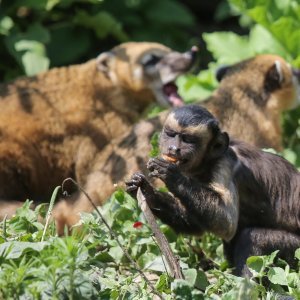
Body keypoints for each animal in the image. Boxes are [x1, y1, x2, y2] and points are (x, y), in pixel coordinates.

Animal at [126, 105, 300, 276]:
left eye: (188, 140)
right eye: (171, 134)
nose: (174, 148)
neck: (206, 162)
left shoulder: (225, 164)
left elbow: (227, 223)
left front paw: (170, 173)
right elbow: (195, 224)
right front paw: (146, 191)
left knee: (253, 237)